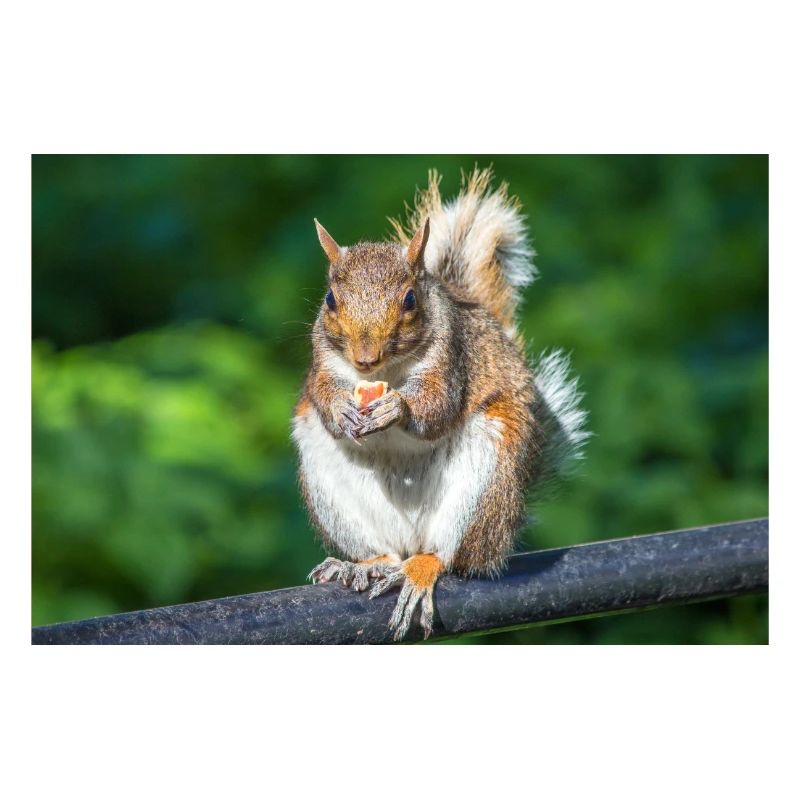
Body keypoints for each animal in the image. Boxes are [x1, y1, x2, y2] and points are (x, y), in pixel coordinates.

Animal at [292, 167, 588, 640]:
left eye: (410, 299)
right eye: (330, 300)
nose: (364, 358)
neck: (387, 372)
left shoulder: (452, 357)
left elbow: (436, 406)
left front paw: (398, 409)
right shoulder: (323, 360)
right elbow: (322, 394)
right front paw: (340, 409)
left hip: (485, 480)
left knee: (449, 556)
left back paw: (421, 570)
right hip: (328, 479)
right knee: (385, 550)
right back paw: (366, 564)